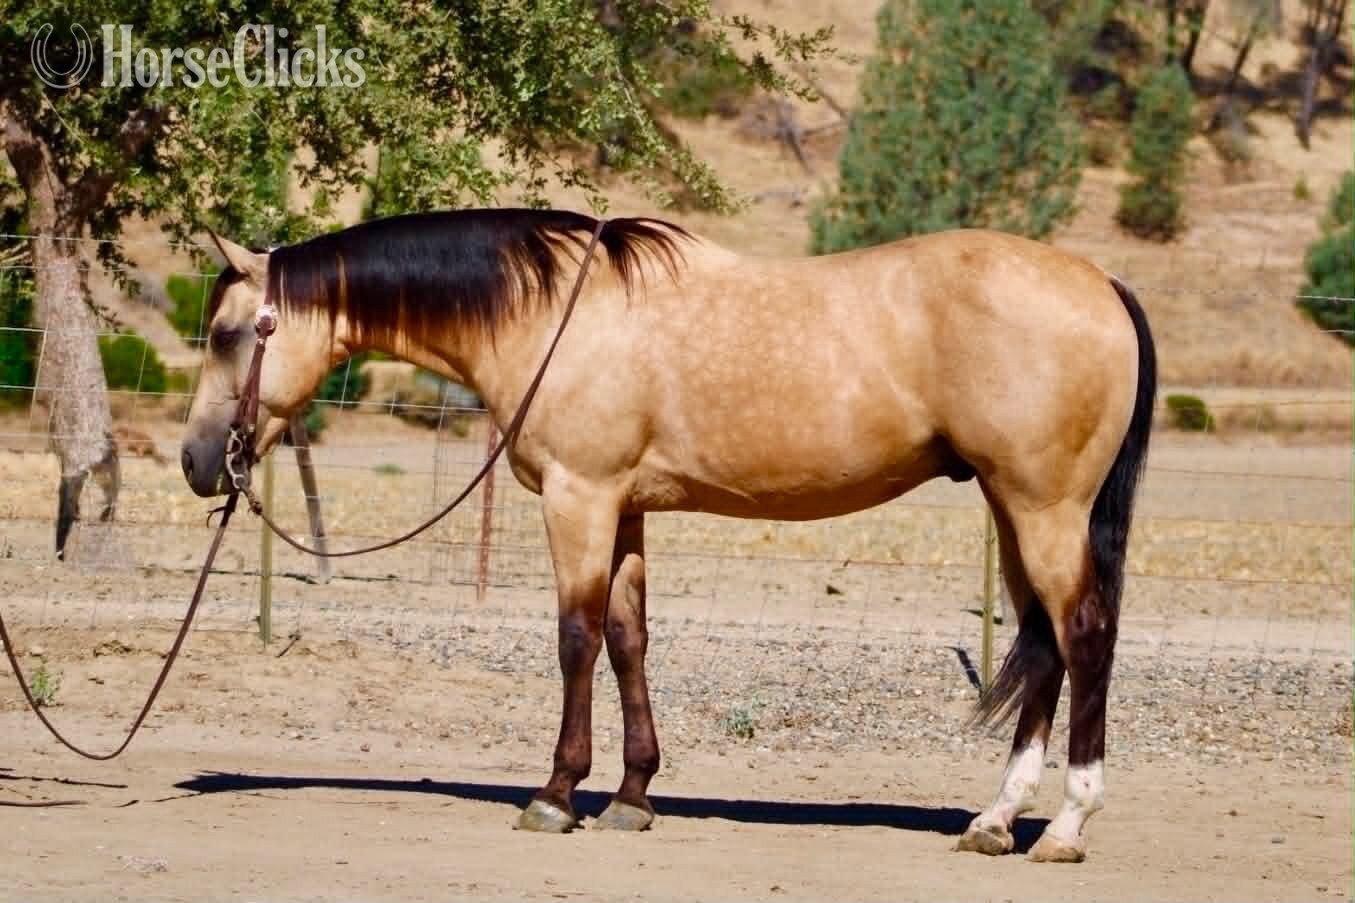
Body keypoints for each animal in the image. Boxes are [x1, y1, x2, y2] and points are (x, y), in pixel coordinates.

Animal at [182, 209, 1155, 863]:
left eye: (229, 334)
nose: (197, 461)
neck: (551, 315)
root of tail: (1100, 285)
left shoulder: (577, 498)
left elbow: (575, 638)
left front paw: (555, 793)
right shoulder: (625, 507)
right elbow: (627, 639)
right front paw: (632, 794)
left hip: (1043, 507)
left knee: (1083, 634)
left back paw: (1065, 823)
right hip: (1012, 506)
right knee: (1043, 643)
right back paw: (995, 818)